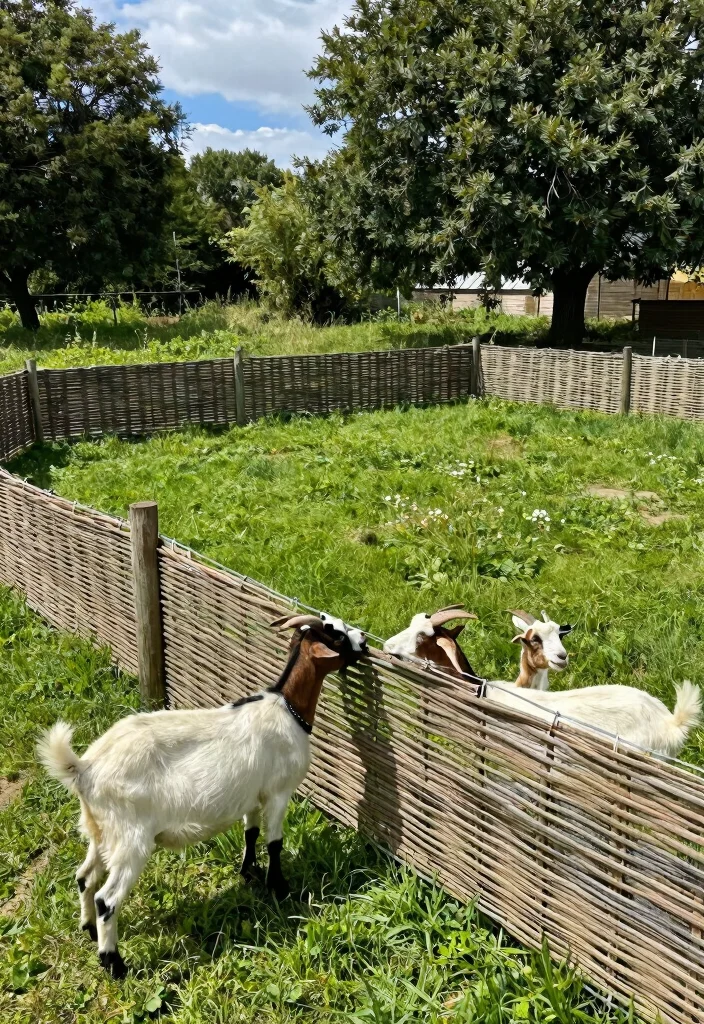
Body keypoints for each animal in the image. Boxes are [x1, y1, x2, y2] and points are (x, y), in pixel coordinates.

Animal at [36, 613, 367, 978]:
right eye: (336, 636)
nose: (364, 641)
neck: (286, 709)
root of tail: (85, 768)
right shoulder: (279, 792)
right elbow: (274, 843)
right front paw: (280, 888)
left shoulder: (252, 794)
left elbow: (250, 832)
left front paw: (249, 873)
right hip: (131, 838)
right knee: (106, 899)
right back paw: (115, 965)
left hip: (100, 831)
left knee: (84, 878)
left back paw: (89, 929)